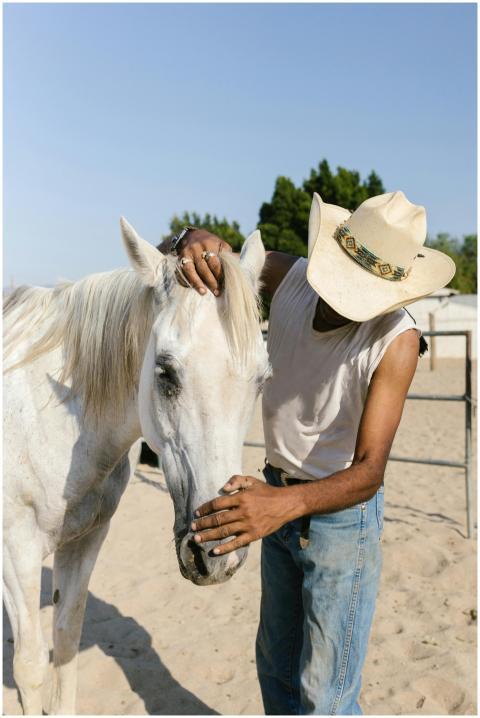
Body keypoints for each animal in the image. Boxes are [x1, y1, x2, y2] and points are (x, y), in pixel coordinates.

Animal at [3, 219, 270, 715]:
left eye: (262, 379)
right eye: (165, 373)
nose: (217, 553)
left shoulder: (84, 541)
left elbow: (65, 642)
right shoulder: (16, 552)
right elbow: (29, 665)